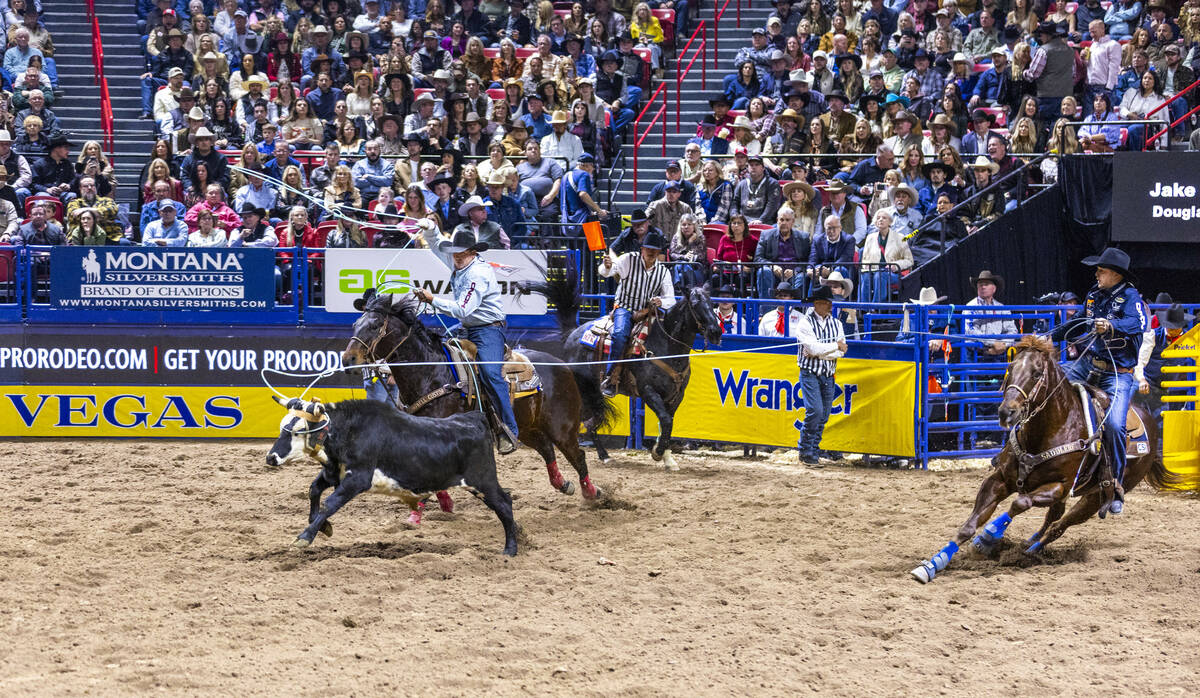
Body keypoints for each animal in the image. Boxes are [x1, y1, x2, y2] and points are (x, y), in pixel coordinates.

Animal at [266, 396, 518, 556]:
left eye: (298, 431)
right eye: (281, 427)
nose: (271, 457)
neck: (351, 430)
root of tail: (475, 418)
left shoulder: (358, 479)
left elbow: (329, 503)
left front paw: (304, 537)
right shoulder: (334, 473)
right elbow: (314, 490)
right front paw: (323, 527)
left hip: (482, 480)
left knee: (504, 504)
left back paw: (510, 549)